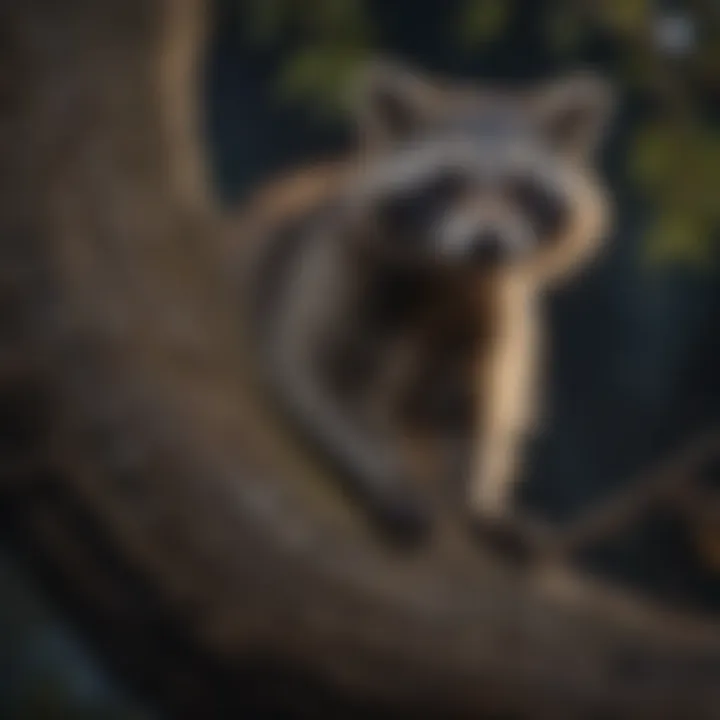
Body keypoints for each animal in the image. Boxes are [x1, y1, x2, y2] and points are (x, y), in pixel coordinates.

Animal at [240, 59, 612, 544]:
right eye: (449, 183)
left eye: (521, 189)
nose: (489, 244)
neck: (453, 275)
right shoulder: (336, 269)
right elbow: (318, 376)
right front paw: (379, 472)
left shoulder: (494, 311)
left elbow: (479, 409)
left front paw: (480, 501)